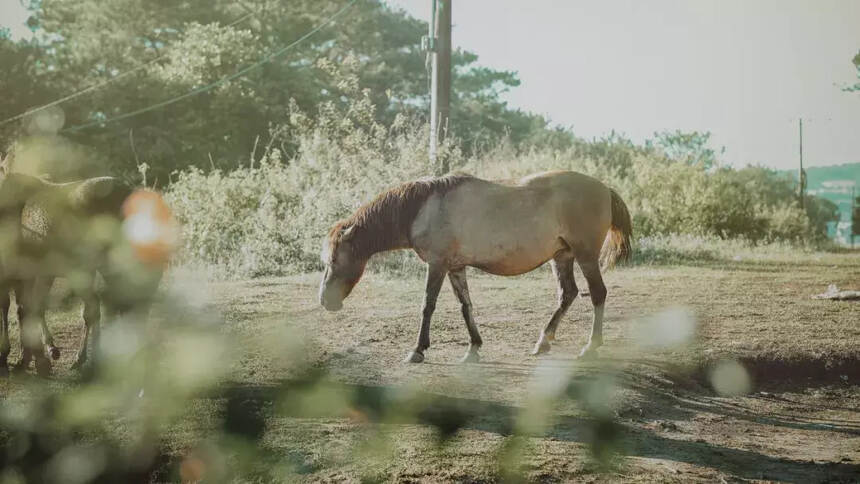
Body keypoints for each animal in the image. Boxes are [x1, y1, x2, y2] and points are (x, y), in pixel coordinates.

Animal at [316, 170, 632, 364]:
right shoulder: (455, 268)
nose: (324, 301)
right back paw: (543, 341)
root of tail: (605, 188)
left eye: (334, 260)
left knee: (598, 294)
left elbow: (427, 305)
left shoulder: (437, 265)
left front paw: (417, 350)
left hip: (585, 255)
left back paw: (590, 347)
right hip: (562, 256)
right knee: (568, 294)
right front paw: (473, 348)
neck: (423, 207)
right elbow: (465, 306)